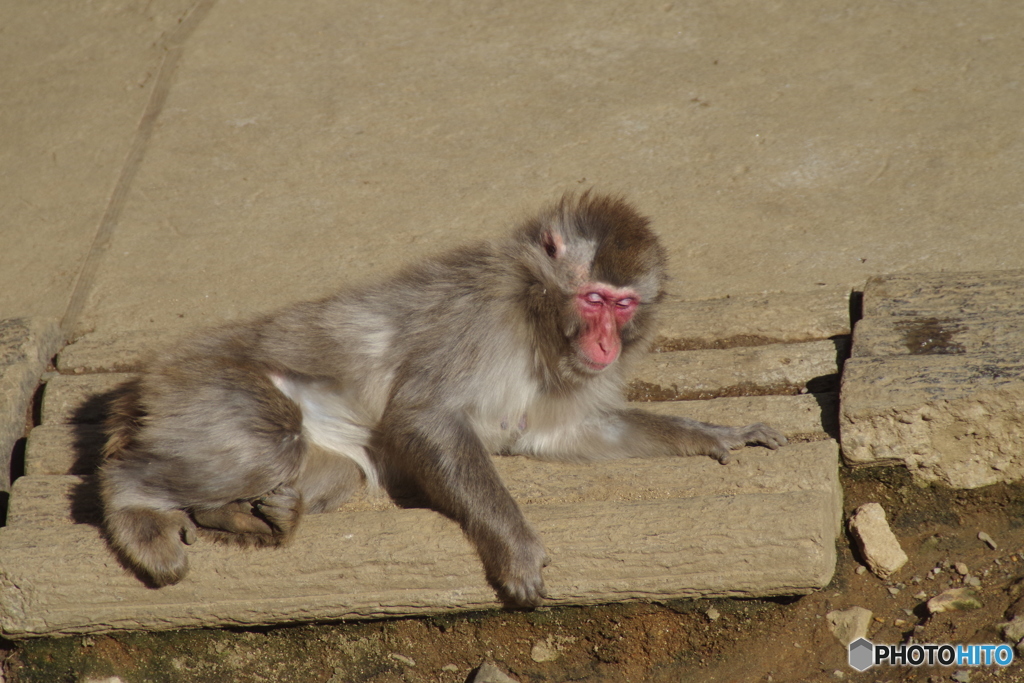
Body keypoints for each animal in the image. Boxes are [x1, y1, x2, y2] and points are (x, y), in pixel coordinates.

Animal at [97, 192, 782, 602]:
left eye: (625, 305)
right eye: (594, 300)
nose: (608, 345)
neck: (532, 310)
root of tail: (148, 380)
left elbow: (568, 434)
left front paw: (713, 435)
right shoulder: (480, 321)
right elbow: (424, 418)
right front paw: (515, 545)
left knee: (336, 474)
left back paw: (244, 517)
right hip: (206, 390)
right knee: (264, 445)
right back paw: (135, 509)